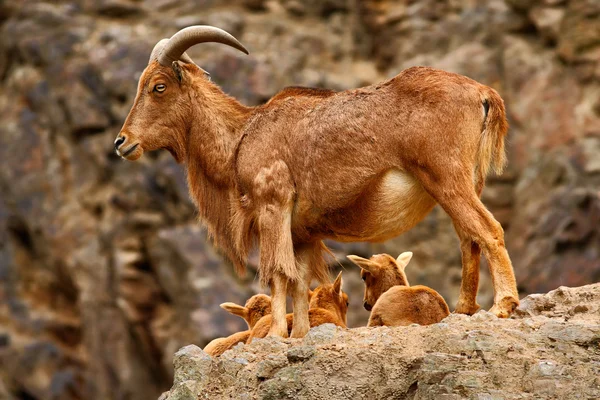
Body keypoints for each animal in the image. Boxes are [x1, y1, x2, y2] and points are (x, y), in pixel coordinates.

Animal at [116, 25, 520, 338]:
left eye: (158, 86)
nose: (122, 142)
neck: (243, 135)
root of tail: (483, 94)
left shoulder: (273, 206)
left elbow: (278, 273)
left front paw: (276, 335)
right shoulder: (303, 232)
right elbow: (299, 279)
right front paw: (300, 333)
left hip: (447, 178)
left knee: (488, 230)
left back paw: (504, 305)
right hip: (465, 184)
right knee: (469, 239)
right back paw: (465, 308)